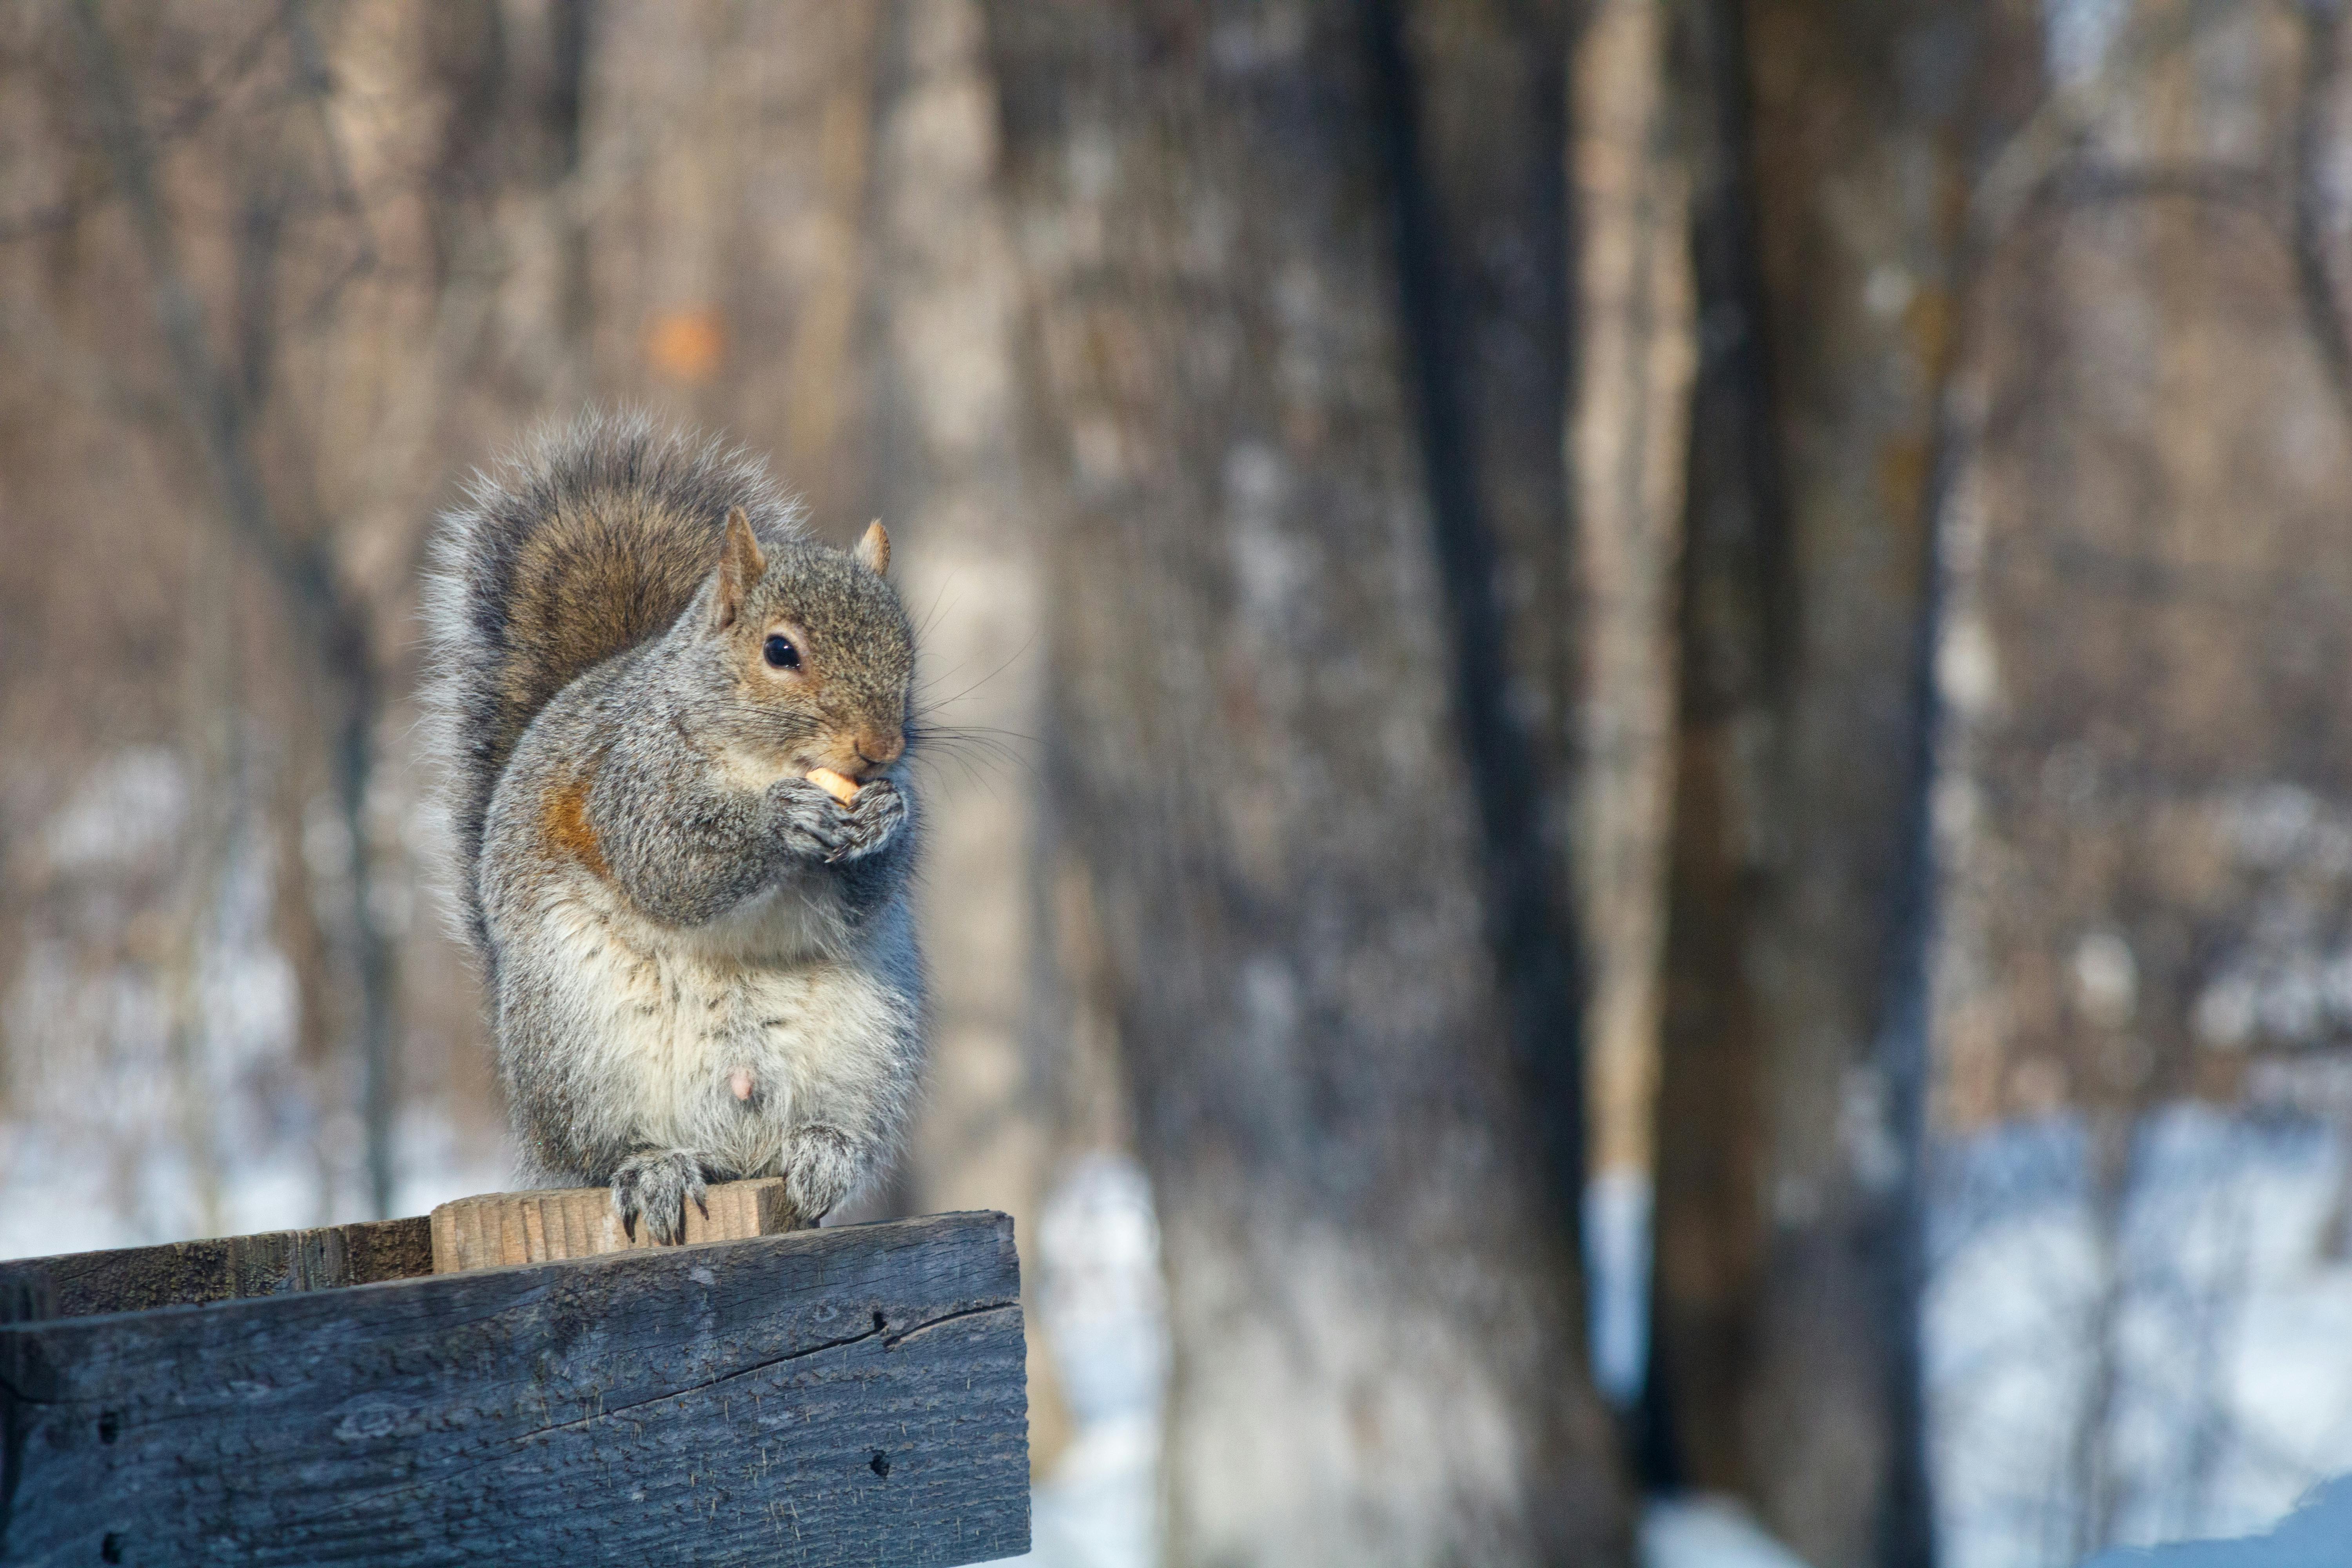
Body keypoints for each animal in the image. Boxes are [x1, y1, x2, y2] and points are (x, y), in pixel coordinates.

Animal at [428, 411, 922, 1241]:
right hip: (578, 1043)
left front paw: (886, 816)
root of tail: (732, 1145)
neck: (759, 761)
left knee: (830, 1134)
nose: (881, 748)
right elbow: (671, 867)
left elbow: (871, 892)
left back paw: (826, 1151)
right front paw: (781, 820)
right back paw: (653, 1169)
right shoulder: (626, 781)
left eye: (908, 653)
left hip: (872, 1040)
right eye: (781, 651)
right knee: (603, 1151)